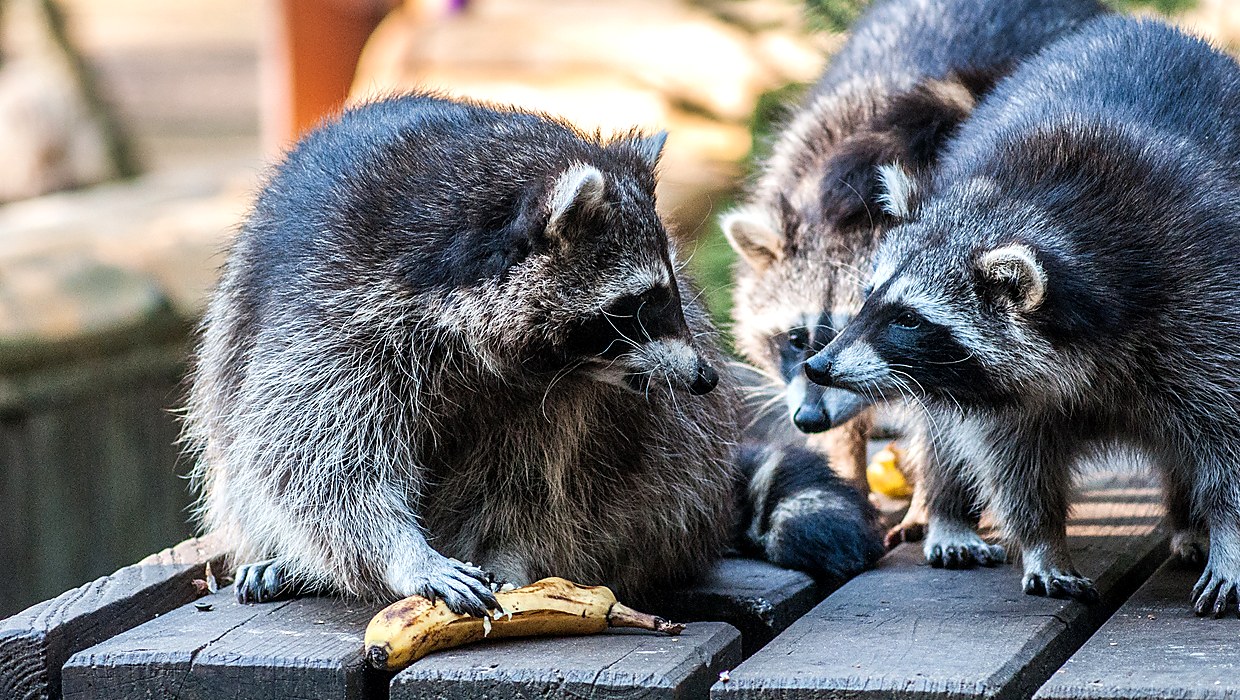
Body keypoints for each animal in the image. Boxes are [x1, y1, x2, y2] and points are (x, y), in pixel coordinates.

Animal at [185, 93, 881, 612]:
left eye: (670, 293)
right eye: (640, 305)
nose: (708, 379)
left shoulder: (561, 398)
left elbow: (536, 480)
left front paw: (509, 553)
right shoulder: (331, 312)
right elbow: (312, 458)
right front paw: (403, 555)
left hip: (673, 469)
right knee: (239, 447)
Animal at [724, 0, 1105, 545]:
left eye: (890, 322)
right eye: (795, 338)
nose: (809, 419)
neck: (849, 204)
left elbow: (944, 421)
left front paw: (930, 503)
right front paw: (847, 471)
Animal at [804, 16, 1240, 615]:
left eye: (909, 319)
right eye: (868, 297)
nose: (818, 366)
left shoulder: (1206, 300)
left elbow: (1228, 437)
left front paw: (1230, 538)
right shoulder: (1002, 393)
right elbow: (1013, 461)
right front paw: (1042, 542)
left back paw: (1191, 521)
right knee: (944, 434)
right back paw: (948, 510)